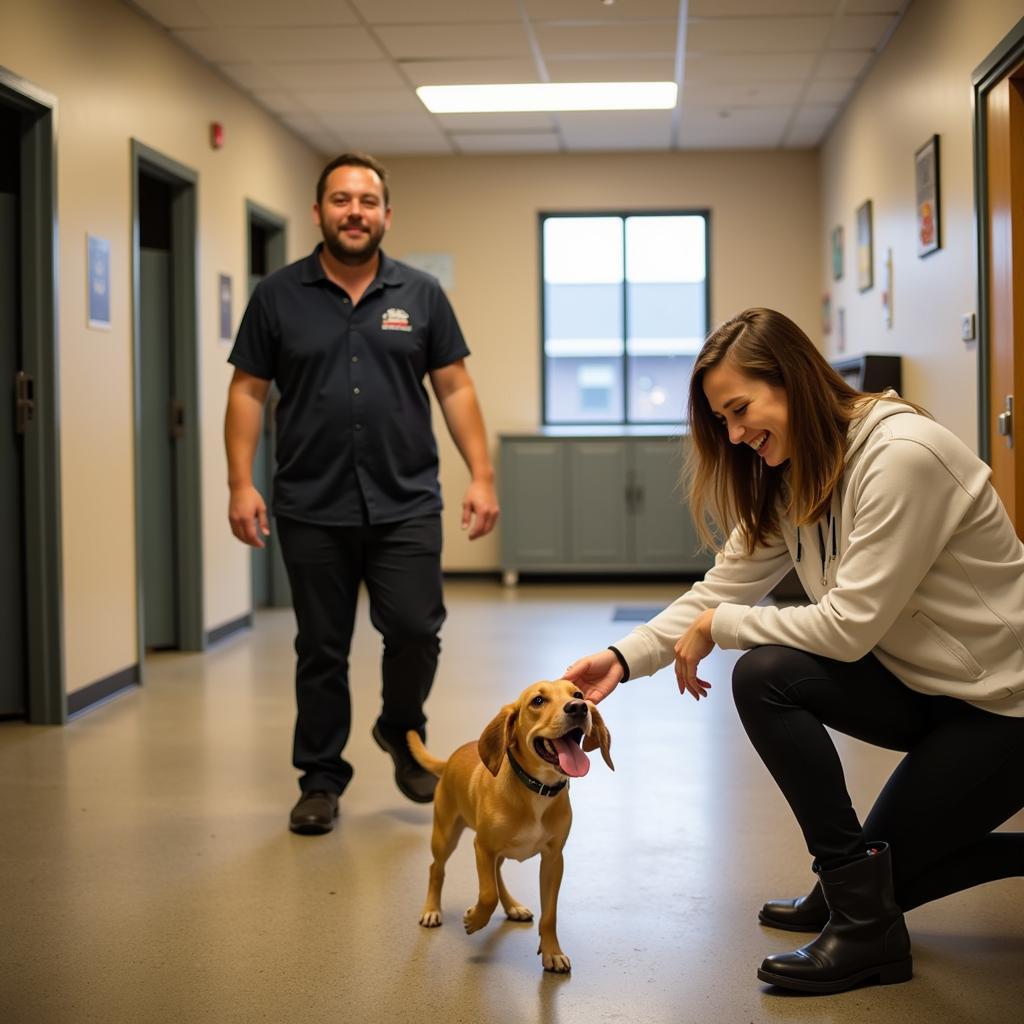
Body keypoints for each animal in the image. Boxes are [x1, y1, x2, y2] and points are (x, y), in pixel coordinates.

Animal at [407, 675, 614, 970]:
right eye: (538, 700)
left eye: (578, 694)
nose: (578, 708)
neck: (537, 789)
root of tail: (450, 760)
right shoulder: (482, 847)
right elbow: (487, 894)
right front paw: (474, 919)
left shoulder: (553, 860)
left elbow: (549, 914)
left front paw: (552, 952)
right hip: (445, 835)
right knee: (437, 868)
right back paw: (432, 910)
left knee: (497, 874)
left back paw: (512, 906)